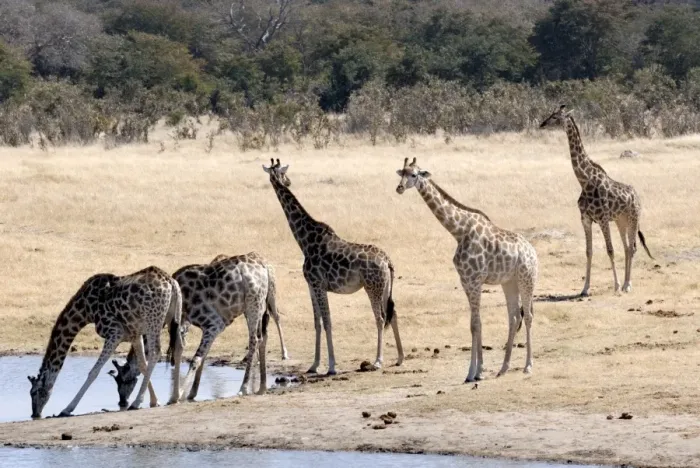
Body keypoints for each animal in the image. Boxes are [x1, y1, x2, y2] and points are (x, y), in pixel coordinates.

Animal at [28, 266, 183, 418]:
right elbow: (142, 365)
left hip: (154, 321)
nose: (35, 413)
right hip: (173, 318)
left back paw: (137, 402)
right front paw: (154, 401)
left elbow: (94, 371)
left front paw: (67, 409)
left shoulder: (115, 332)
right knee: (178, 347)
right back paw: (174, 398)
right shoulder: (134, 334)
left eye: (34, 392)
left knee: (156, 351)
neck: (86, 310)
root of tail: (172, 283)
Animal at [111, 252, 274, 405]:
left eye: (122, 379)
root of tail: (265, 267)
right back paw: (262, 387)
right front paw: (189, 393)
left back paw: (244, 388)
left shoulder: (213, 323)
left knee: (254, 340)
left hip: (253, 303)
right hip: (259, 305)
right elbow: (195, 354)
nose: (122, 401)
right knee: (263, 337)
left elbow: (195, 359)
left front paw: (180, 395)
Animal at [263, 158, 404, 375]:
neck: (305, 241)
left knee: (380, 318)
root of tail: (388, 261)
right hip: (385, 287)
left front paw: (331, 366)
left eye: (283, 172)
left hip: (372, 287)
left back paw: (378, 361)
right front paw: (314, 365)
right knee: (393, 313)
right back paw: (399, 358)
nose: (288, 181)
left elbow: (328, 321)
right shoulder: (311, 286)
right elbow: (317, 323)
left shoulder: (318, 284)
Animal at [396, 157, 538, 382]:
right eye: (402, 172)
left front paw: (475, 372)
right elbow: (474, 324)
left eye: (414, 174)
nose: (399, 188)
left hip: (527, 279)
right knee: (514, 317)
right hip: (509, 283)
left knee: (529, 316)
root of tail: (533, 251)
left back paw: (528, 366)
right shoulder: (465, 281)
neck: (458, 231)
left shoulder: (475, 280)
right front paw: (474, 372)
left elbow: (476, 324)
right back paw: (503, 368)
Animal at [540, 105, 653, 296]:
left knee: (633, 247)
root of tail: (637, 196)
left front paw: (616, 285)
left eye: (555, 117)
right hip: (621, 221)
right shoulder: (586, 219)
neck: (585, 181)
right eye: (550, 115)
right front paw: (585, 288)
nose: (542, 124)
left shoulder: (602, 218)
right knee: (627, 248)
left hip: (633, 219)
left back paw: (627, 285)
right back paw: (625, 283)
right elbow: (589, 251)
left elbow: (610, 250)